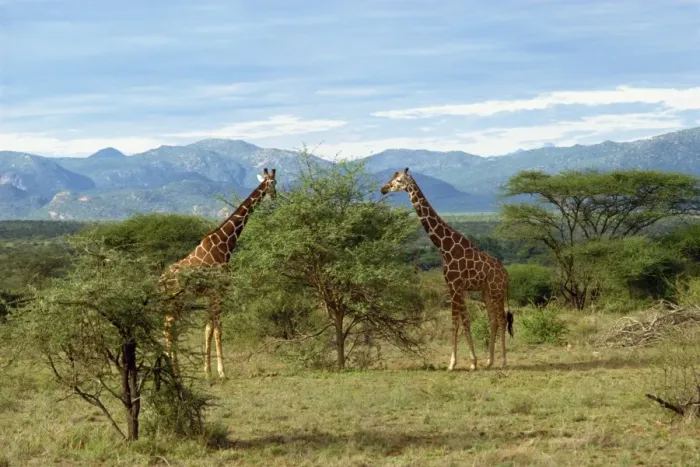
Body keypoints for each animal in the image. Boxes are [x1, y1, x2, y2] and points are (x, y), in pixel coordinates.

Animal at [161, 168, 277, 379]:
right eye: (273, 182)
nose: (275, 196)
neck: (225, 244)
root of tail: (160, 280)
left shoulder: (211, 294)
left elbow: (208, 328)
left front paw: (207, 371)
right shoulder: (218, 291)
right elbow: (218, 329)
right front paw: (221, 372)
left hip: (175, 301)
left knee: (169, 328)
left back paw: (175, 369)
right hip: (177, 300)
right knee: (168, 328)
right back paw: (174, 370)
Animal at [380, 168, 513, 371]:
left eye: (399, 180)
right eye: (393, 178)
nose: (383, 189)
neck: (445, 247)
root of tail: (505, 275)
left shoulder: (456, 286)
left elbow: (458, 323)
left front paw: (456, 363)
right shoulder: (454, 287)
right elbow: (462, 322)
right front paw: (469, 362)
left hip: (496, 290)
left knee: (501, 318)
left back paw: (504, 361)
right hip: (486, 291)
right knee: (492, 320)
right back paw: (489, 361)